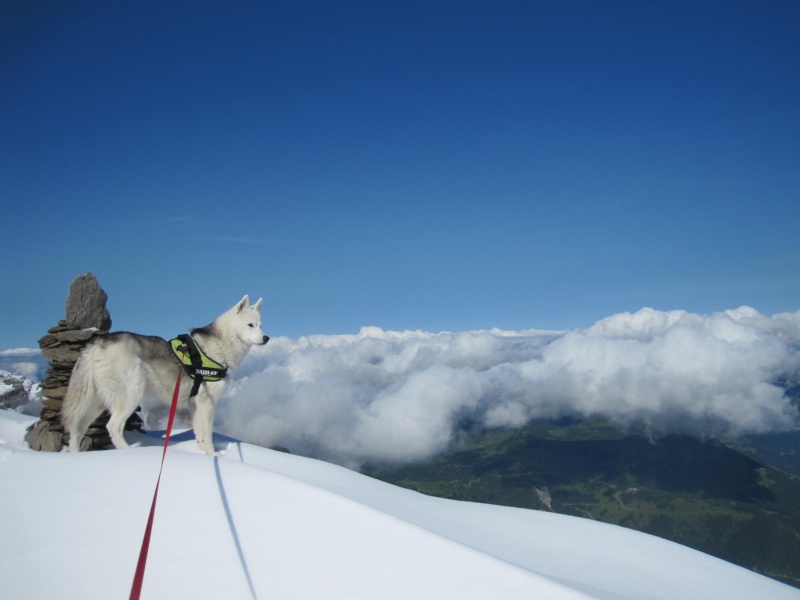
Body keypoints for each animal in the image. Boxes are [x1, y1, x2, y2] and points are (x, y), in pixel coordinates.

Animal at [60, 296, 272, 454]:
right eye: (250, 325)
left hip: (96, 402)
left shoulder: (195, 404)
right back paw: (128, 453)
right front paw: (213, 455)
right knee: (113, 427)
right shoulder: (207, 402)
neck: (219, 348)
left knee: (77, 429)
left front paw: (203, 453)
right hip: (130, 395)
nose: (266, 338)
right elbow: (208, 432)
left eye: (261, 325)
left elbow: (199, 433)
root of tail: (97, 344)